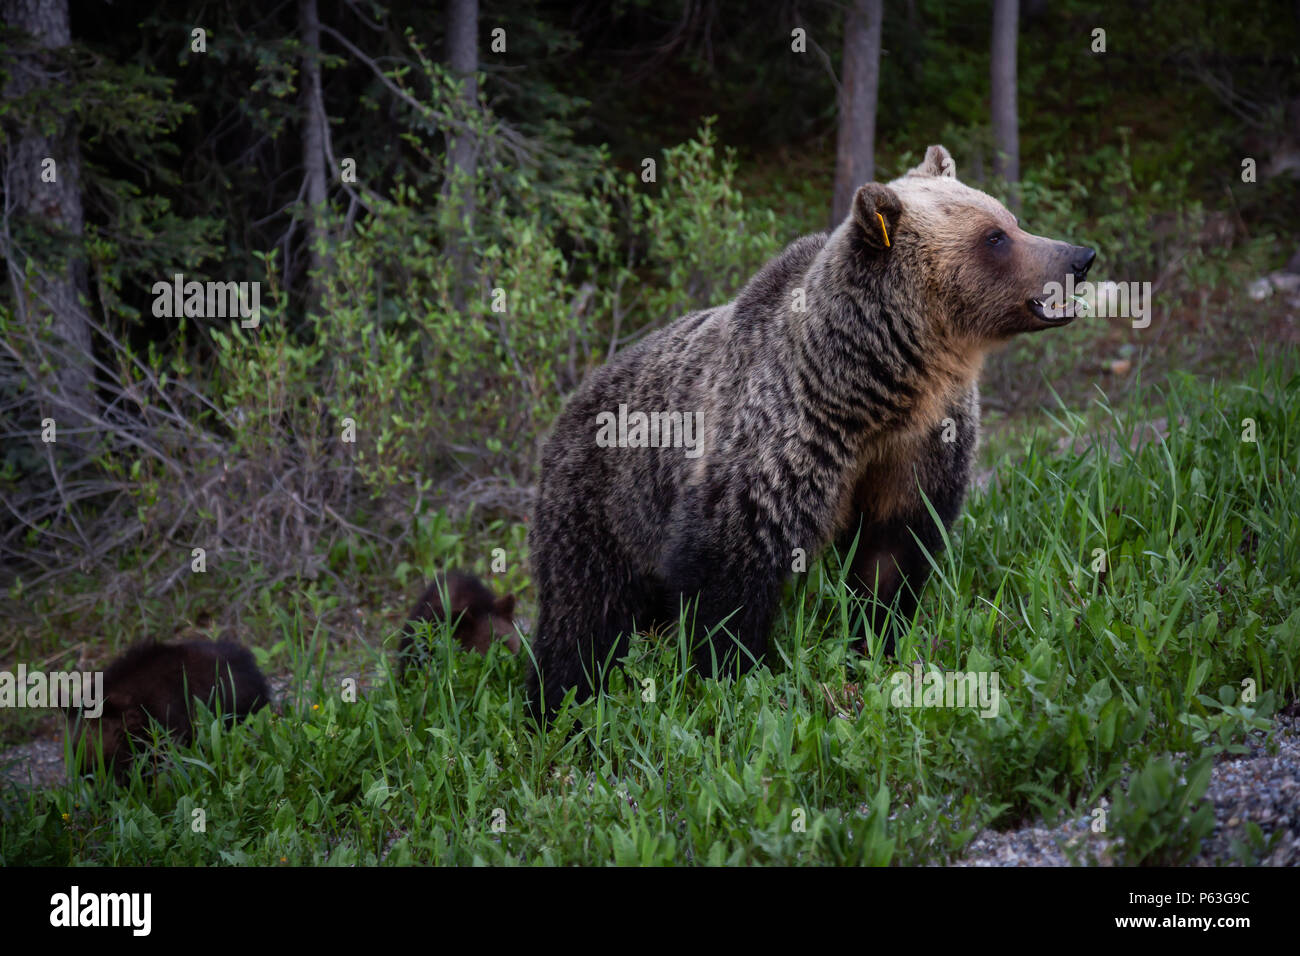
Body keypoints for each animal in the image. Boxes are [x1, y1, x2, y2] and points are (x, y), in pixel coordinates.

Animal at [524, 145, 1095, 722]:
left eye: (1010, 219)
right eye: (995, 237)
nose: (1080, 256)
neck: (877, 390)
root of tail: (574, 399)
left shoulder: (920, 443)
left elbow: (893, 551)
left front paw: (877, 641)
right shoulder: (782, 441)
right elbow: (730, 569)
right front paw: (729, 674)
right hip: (604, 503)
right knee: (585, 615)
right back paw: (557, 704)